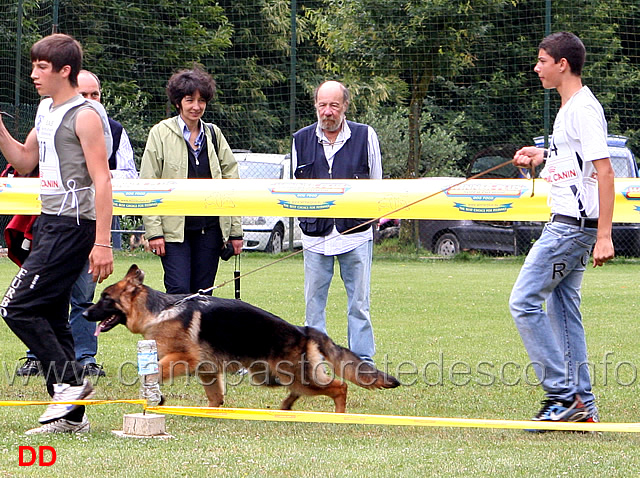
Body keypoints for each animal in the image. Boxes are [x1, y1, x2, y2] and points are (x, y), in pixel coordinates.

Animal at [82, 266, 398, 410]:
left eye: (106, 298)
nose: (84, 313)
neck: (159, 311)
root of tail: (304, 329)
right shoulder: (208, 371)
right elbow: (216, 398)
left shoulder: (184, 360)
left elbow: (152, 371)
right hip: (277, 377)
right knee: (303, 390)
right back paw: (285, 408)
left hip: (296, 376)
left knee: (339, 387)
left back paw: (339, 412)